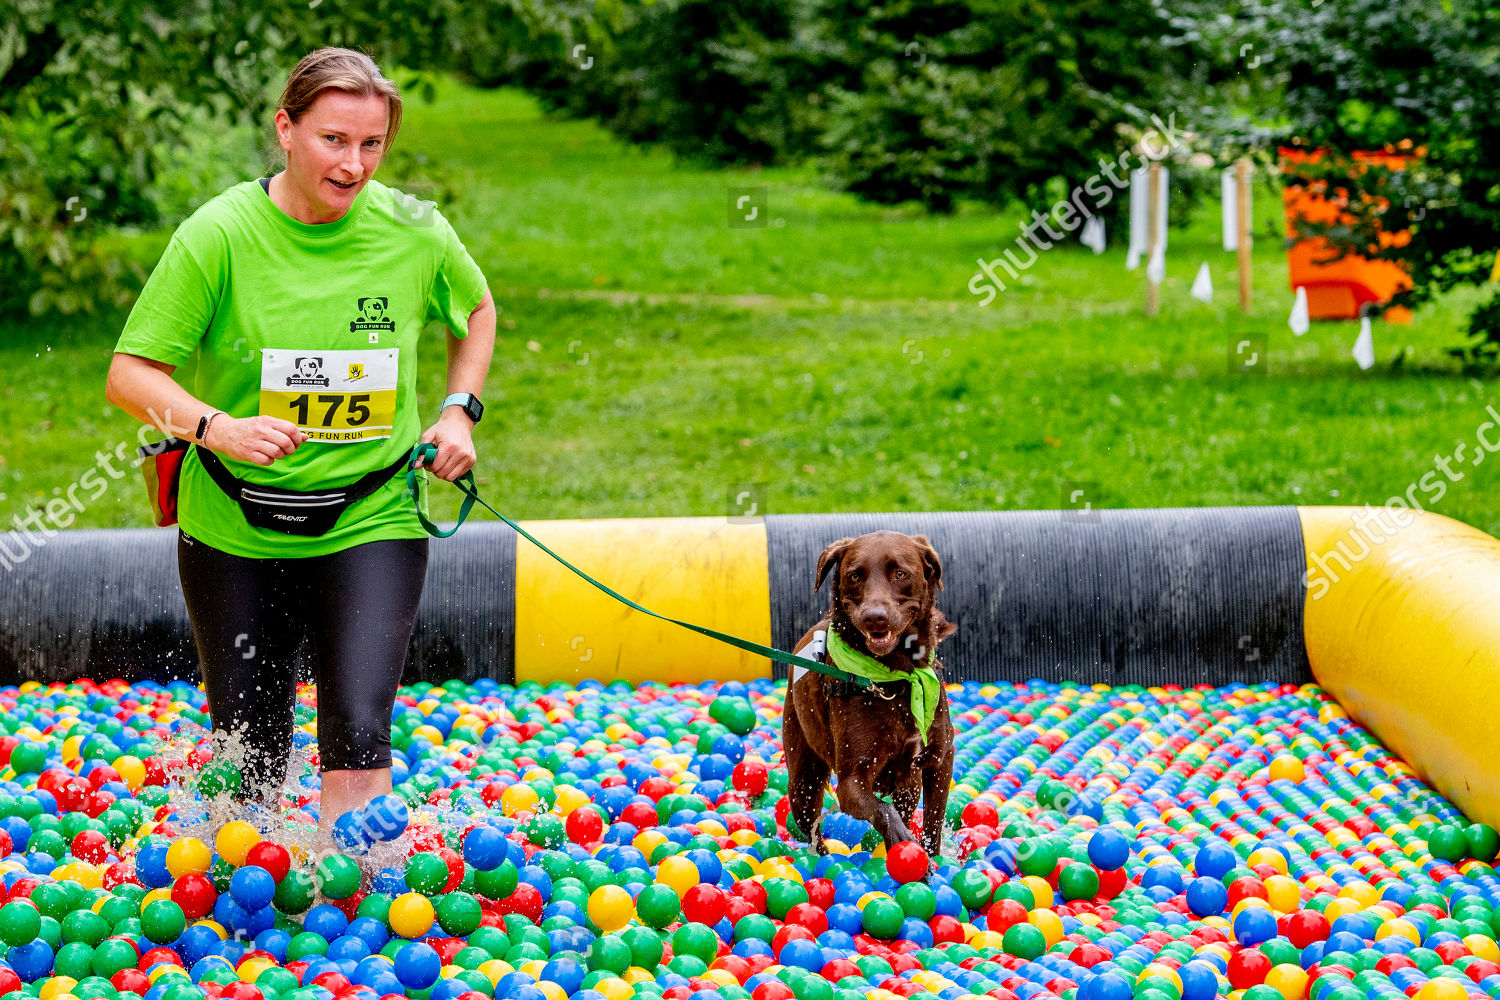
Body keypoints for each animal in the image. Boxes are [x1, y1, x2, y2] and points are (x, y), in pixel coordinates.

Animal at [780, 530, 954, 863]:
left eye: (900, 573)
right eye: (854, 575)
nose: (875, 618)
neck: (896, 678)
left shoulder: (940, 758)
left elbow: (934, 821)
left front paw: (931, 855)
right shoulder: (852, 780)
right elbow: (881, 809)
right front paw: (903, 841)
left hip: (908, 785)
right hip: (802, 778)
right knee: (811, 828)